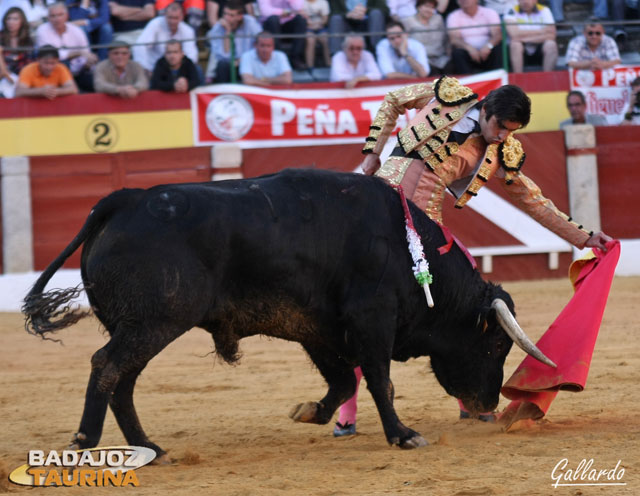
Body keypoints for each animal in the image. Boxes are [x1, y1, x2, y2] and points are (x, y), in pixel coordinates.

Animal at [21, 169, 552, 456]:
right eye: (496, 342)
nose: (487, 403)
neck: (407, 250)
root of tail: (123, 199)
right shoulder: (371, 319)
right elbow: (379, 380)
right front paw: (402, 435)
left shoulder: (320, 330)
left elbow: (343, 382)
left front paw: (310, 412)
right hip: (154, 322)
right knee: (107, 366)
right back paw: (87, 439)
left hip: (141, 326)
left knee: (123, 379)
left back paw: (149, 447)